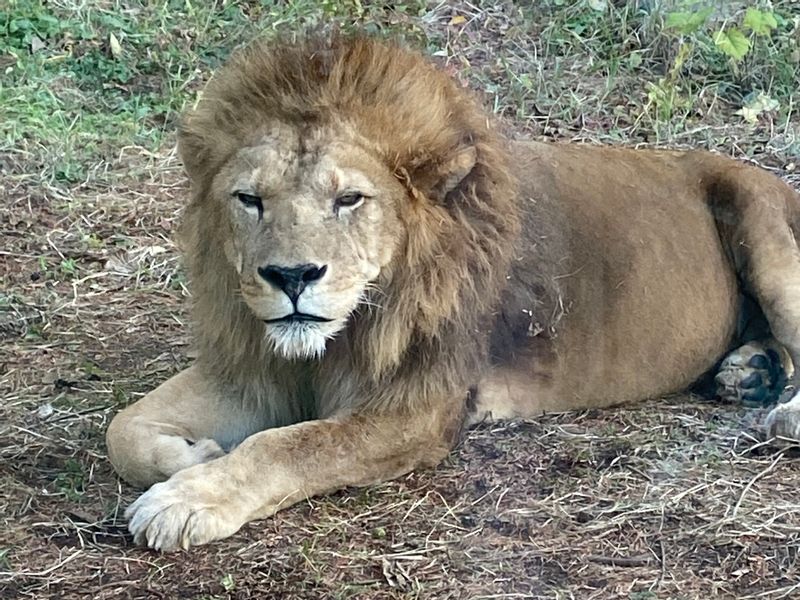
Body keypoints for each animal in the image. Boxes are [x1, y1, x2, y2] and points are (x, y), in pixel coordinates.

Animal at [104, 31, 800, 548]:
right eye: (249, 200)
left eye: (349, 200)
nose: (292, 277)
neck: (340, 334)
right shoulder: (256, 369)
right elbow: (123, 427)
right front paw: (194, 458)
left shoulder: (417, 408)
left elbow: (292, 444)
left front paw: (189, 498)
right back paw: (753, 371)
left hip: (761, 224)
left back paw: (781, 410)